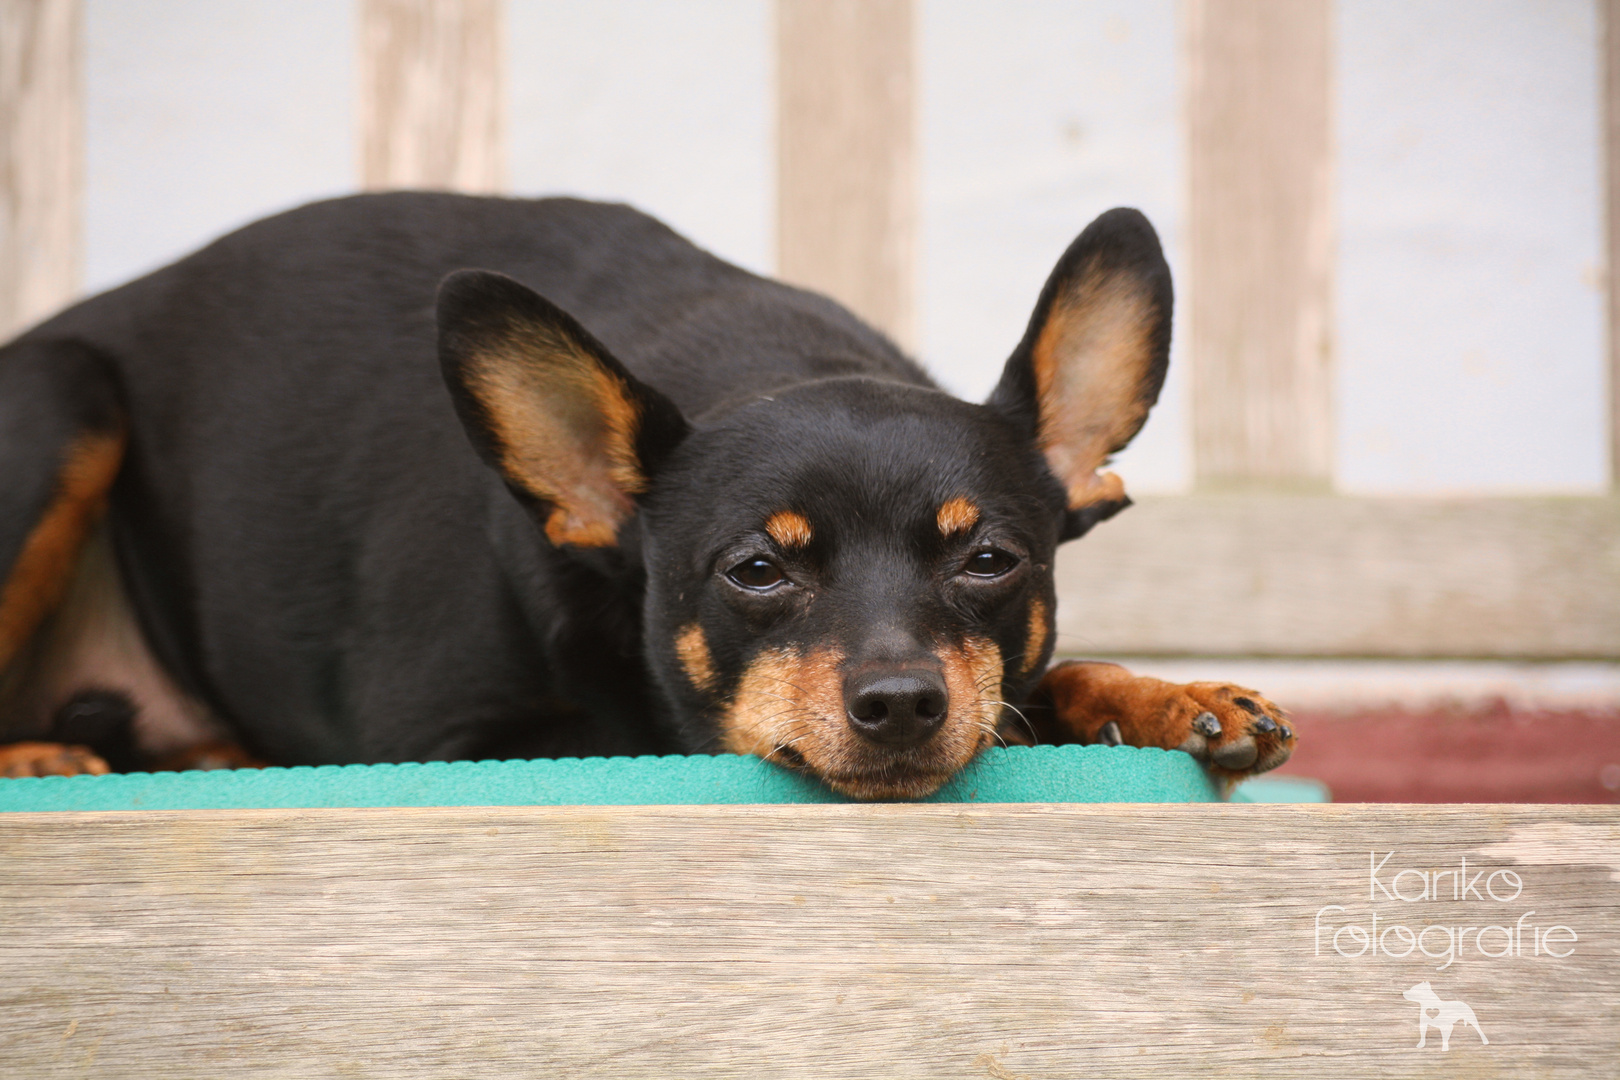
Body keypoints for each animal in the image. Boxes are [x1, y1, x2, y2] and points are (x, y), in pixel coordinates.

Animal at [0, 194, 1289, 799]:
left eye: (991, 562)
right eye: (755, 570)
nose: (902, 704)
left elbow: (1039, 684)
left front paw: (1165, 698)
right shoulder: (456, 742)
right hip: (63, 404)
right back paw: (46, 755)